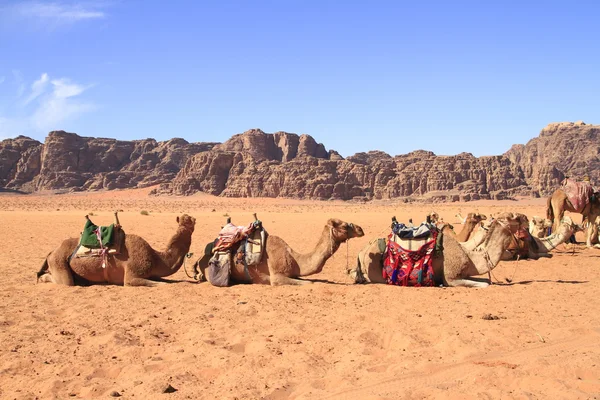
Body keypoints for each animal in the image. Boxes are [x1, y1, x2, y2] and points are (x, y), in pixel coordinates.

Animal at [37, 214, 197, 286]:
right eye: (187, 220)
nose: (194, 218)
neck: (156, 258)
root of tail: (51, 252)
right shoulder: (132, 276)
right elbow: (160, 284)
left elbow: (164, 280)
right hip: (59, 263)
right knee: (65, 281)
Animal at [350, 212, 524, 288]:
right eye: (513, 217)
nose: (525, 218)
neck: (469, 254)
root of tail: (361, 251)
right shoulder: (451, 278)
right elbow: (485, 285)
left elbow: (486, 281)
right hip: (375, 273)